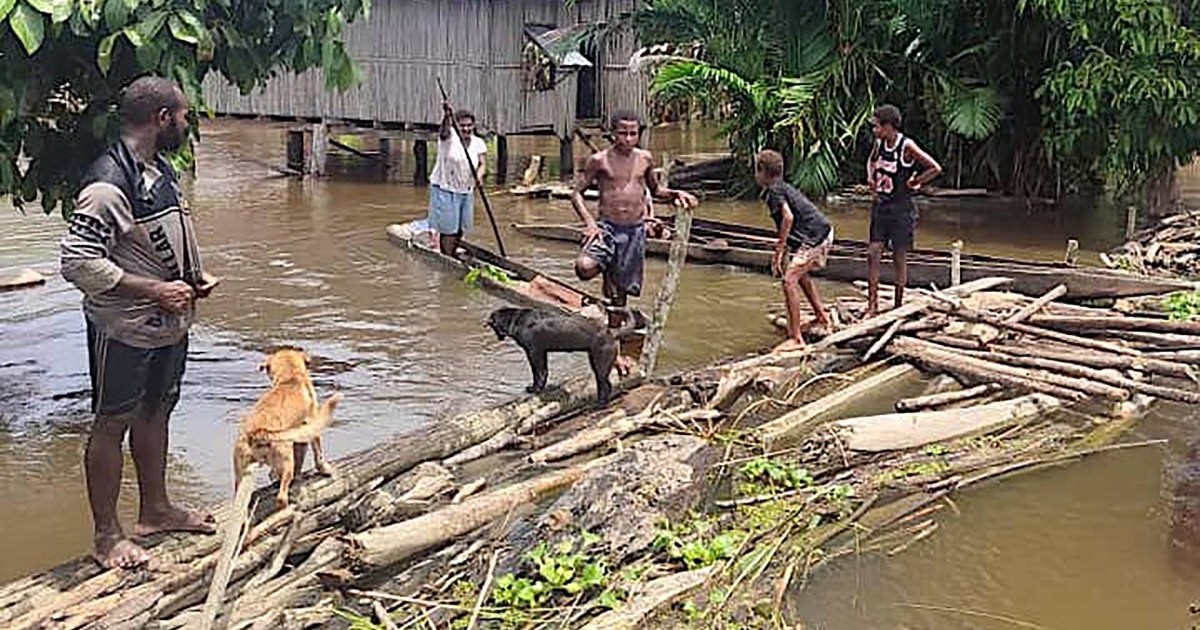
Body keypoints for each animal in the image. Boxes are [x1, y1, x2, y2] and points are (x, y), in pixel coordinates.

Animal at [234, 345, 340, 508]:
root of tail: (258, 432)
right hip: (286, 461)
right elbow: (318, 454)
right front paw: (324, 469)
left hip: (241, 473)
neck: (290, 378)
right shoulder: (312, 426)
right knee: (281, 496)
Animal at [484, 307, 648, 405]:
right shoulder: (542, 352)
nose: (499, 338)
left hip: (600, 362)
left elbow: (538, 373)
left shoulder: (534, 352)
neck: (516, 320)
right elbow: (544, 371)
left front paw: (535, 389)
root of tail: (612, 332)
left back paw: (599, 405)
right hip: (598, 360)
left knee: (606, 385)